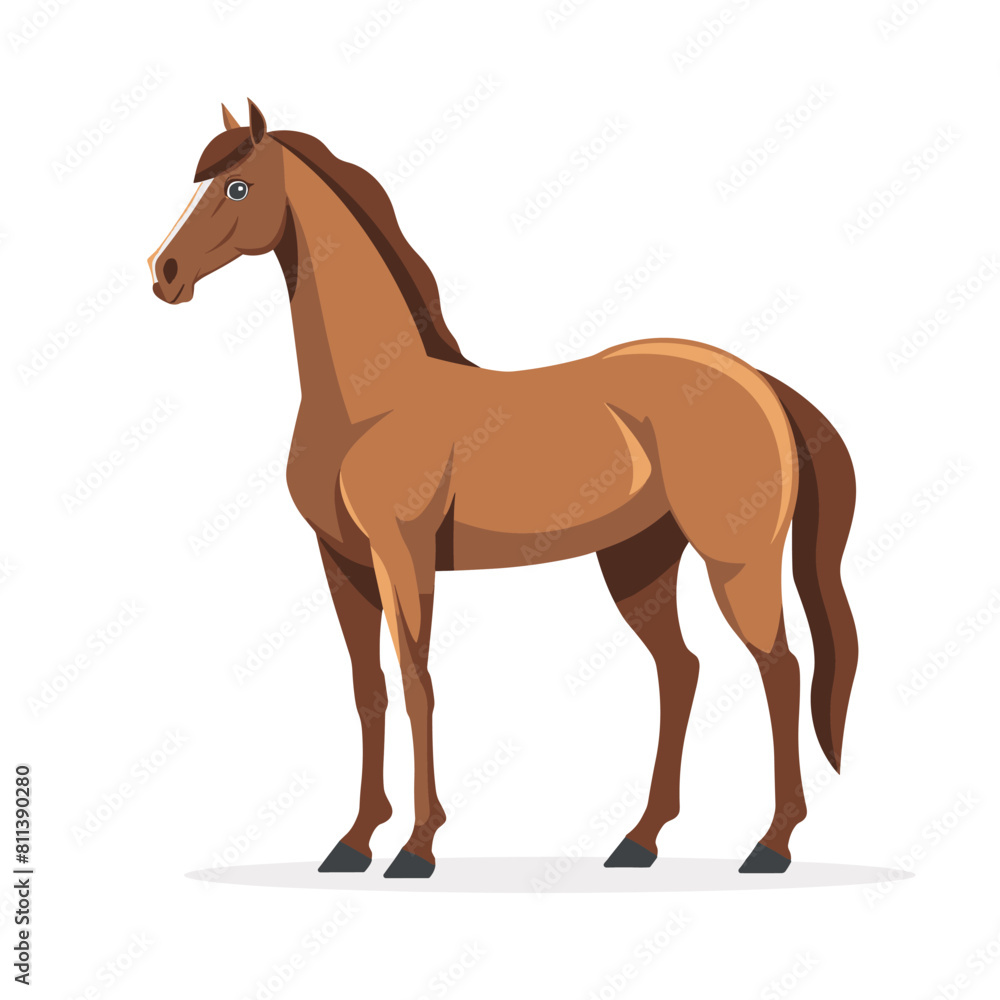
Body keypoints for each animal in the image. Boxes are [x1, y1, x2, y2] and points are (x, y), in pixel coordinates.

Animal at [149, 100, 858, 879]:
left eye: (237, 187)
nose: (164, 272)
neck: (373, 401)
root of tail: (761, 384)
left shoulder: (404, 557)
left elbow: (416, 683)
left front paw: (417, 848)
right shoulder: (342, 563)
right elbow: (369, 692)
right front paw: (354, 841)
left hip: (737, 562)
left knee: (779, 669)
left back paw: (770, 845)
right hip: (639, 563)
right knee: (682, 670)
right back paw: (640, 840)